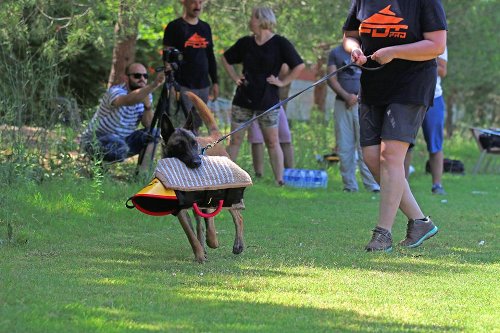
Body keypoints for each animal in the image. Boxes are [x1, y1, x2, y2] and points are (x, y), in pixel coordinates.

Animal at [161, 91, 245, 262]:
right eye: (179, 146)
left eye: (194, 144)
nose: (197, 162)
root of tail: (213, 138)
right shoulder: (181, 210)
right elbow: (191, 234)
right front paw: (199, 254)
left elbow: (210, 225)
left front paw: (212, 242)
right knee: (199, 224)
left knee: (238, 218)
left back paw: (237, 245)